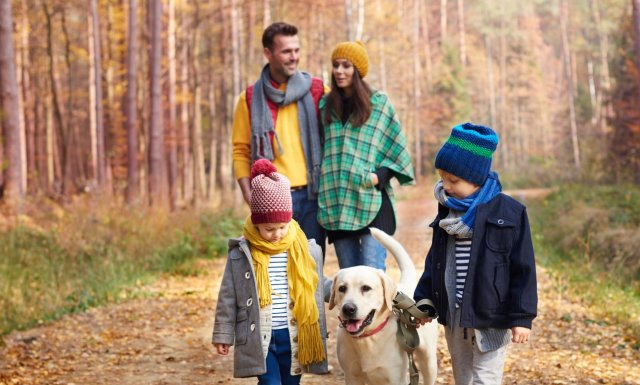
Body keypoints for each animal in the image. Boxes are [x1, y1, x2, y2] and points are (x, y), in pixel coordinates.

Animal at [328, 228, 438, 384]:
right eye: (342, 288)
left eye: (366, 288)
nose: (348, 308)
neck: (367, 339)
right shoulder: (351, 377)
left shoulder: (396, 378)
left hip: (428, 361)